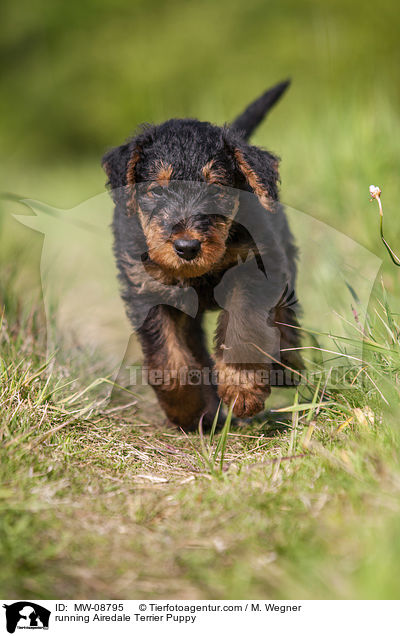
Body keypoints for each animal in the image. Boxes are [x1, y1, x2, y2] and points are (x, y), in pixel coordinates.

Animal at [101, 78, 302, 428]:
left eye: (217, 189)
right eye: (157, 190)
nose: (186, 248)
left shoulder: (251, 270)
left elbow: (243, 327)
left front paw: (242, 389)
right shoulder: (150, 290)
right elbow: (169, 358)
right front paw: (188, 409)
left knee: (284, 314)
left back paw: (286, 365)